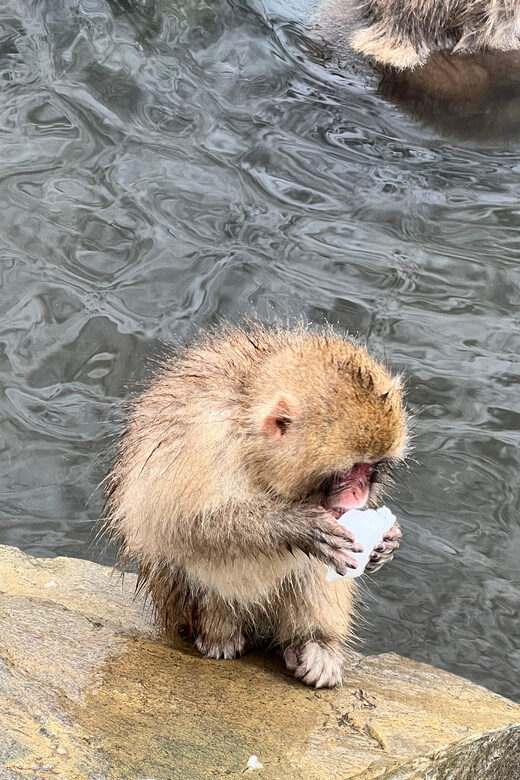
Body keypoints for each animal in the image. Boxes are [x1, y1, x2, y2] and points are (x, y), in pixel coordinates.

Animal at [104, 323, 408, 688]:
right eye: (350, 470)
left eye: (370, 469)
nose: (359, 497)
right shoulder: (204, 440)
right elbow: (183, 524)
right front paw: (298, 526)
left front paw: (387, 542)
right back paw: (219, 636)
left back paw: (314, 645)